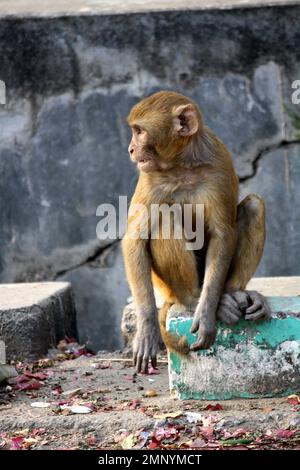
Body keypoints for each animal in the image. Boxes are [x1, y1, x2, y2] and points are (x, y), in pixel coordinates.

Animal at [120, 90, 270, 372]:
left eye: (139, 131)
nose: (131, 149)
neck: (182, 164)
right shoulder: (149, 176)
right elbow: (134, 240)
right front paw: (147, 327)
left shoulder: (219, 164)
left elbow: (223, 234)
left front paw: (208, 310)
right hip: (167, 287)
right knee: (164, 219)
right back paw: (192, 299)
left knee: (254, 206)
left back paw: (231, 294)